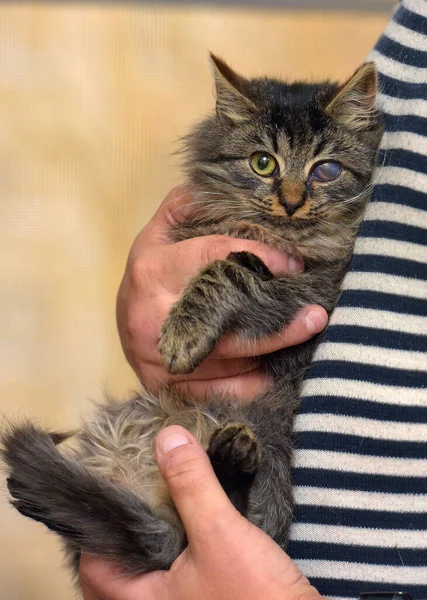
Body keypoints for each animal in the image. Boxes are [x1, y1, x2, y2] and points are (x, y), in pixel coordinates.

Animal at [1, 55, 384, 576]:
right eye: (263, 162)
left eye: (326, 170)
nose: (291, 201)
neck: (280, 238)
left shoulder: (313, 294)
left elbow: (226, 270)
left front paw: (184, 333)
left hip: (272, 440)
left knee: (233, 515)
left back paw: (232, 454)